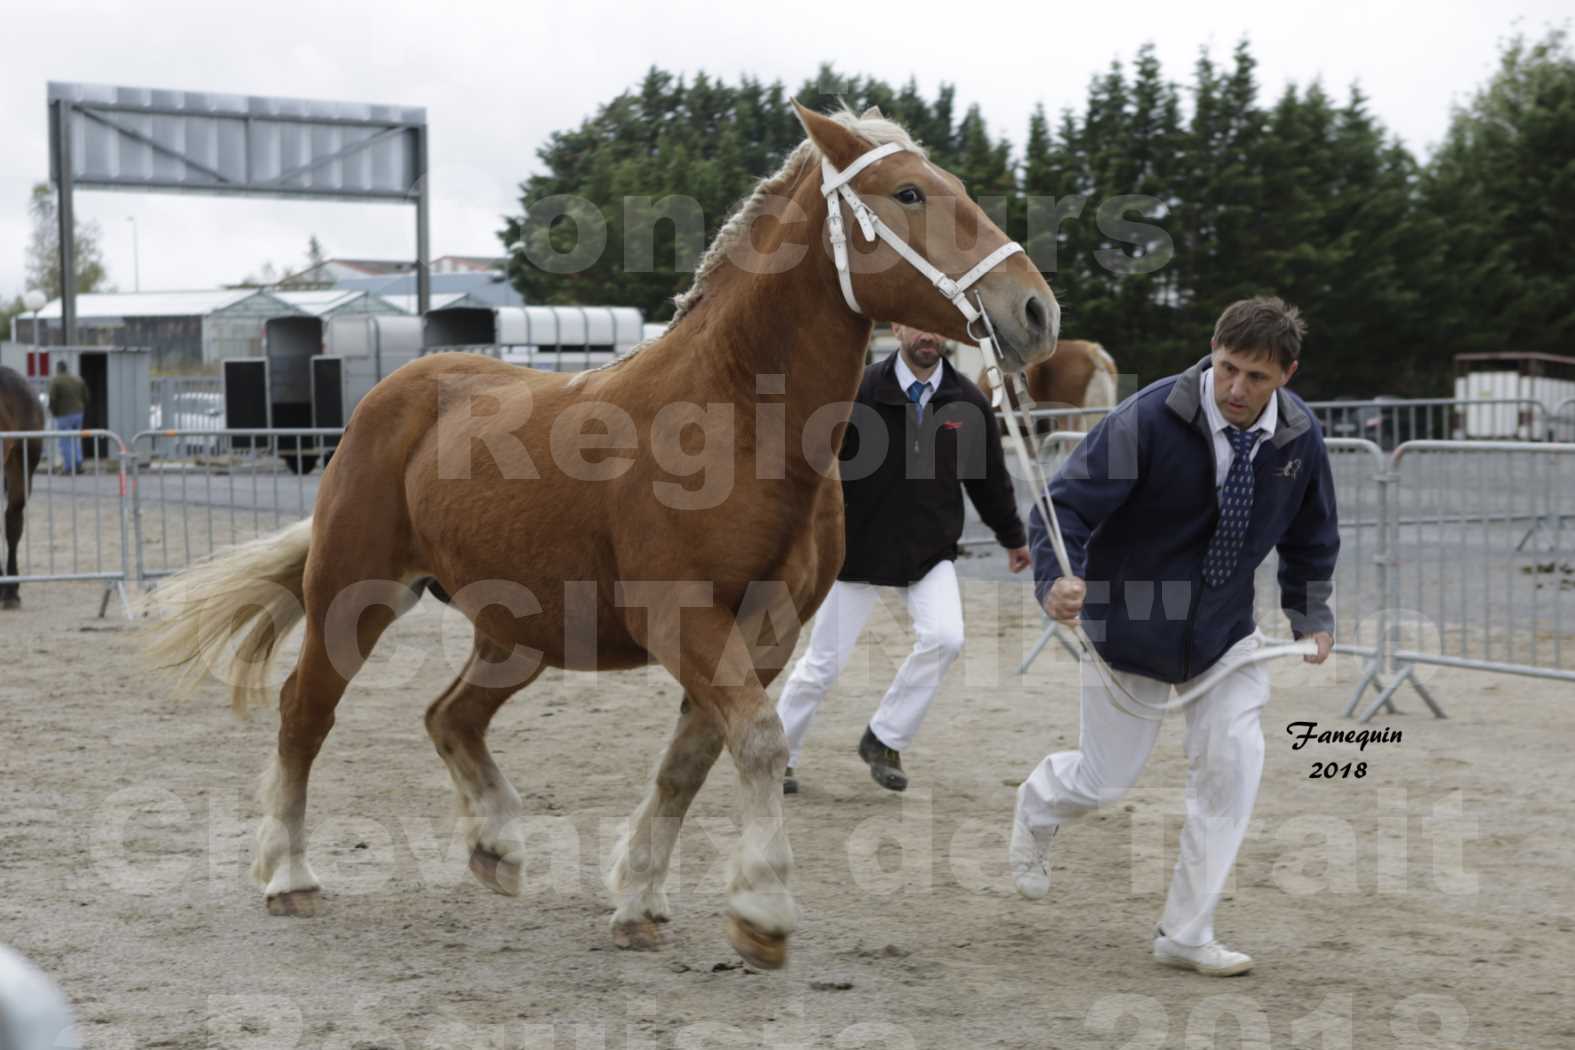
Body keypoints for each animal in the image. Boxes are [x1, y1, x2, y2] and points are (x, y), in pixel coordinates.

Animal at [144, 104, 1058, 969]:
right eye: (907, 193)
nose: (1034, 310)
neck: (738, 418)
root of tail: (391, 392)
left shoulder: (763, 633)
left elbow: (694, 759)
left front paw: (640, 903)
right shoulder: (683, 618)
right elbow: (759, 741)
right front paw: (761, 913)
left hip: (519, 631)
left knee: (450, 716)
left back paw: (497, 847)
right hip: (353, 594)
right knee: (306, 713)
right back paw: (290, 876)